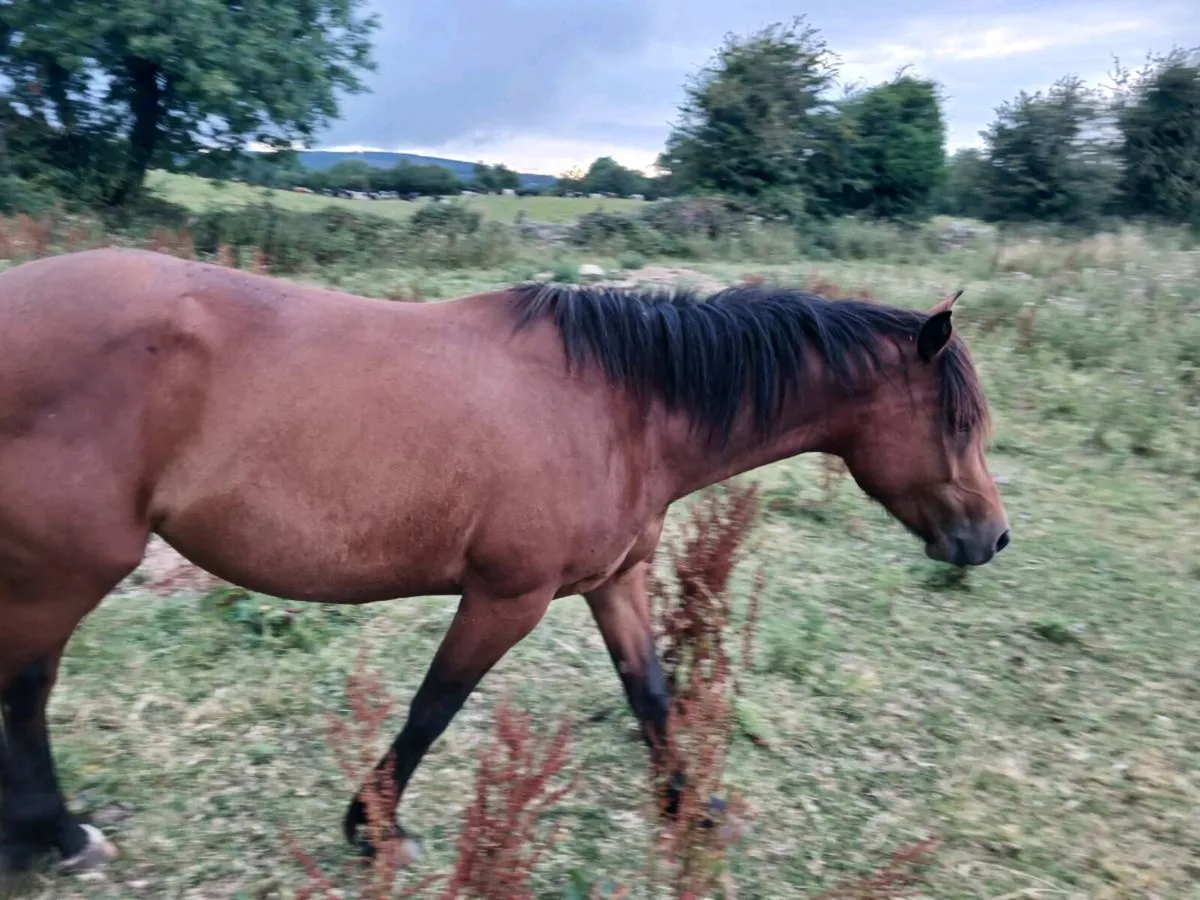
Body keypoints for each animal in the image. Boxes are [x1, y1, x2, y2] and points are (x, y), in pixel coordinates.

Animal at [0, 247, 1009, 874]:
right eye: (956, 422)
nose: (991, 539)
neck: (620, 406)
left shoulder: (615, 584)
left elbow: (650, 693)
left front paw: (689, 809)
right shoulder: (508, 597)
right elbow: (433, 707)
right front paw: (374, 829)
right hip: (65, 571)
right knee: (27, 690)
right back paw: (60, 836)